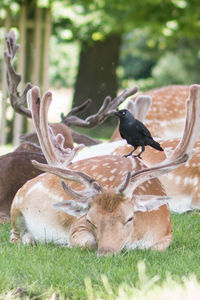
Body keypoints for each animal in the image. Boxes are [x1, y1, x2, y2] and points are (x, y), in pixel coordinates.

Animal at [9, 83, 200, 254]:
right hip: (16, 205)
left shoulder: (167, 234)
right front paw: (65, 243)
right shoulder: (78, 224)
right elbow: (86, 241)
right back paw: (31, 239)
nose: (106, 252)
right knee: (14, 236)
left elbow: (156, 248)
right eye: (90, 220)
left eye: (130, 218)